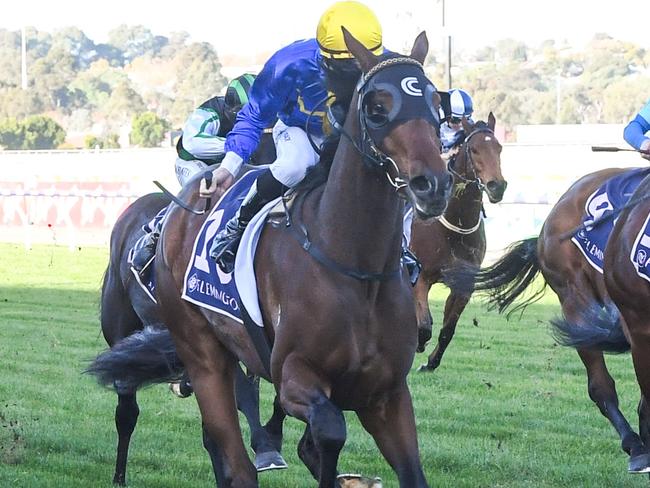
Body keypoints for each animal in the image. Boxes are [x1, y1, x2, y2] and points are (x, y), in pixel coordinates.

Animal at [410, 115, 506, 374]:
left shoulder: (463, 285)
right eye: (474, 149)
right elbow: (424, 325)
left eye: (499, 148)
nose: (497, 186)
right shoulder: (421, 277)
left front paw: (431, 362)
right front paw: (419, 345)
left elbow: (447, 330)